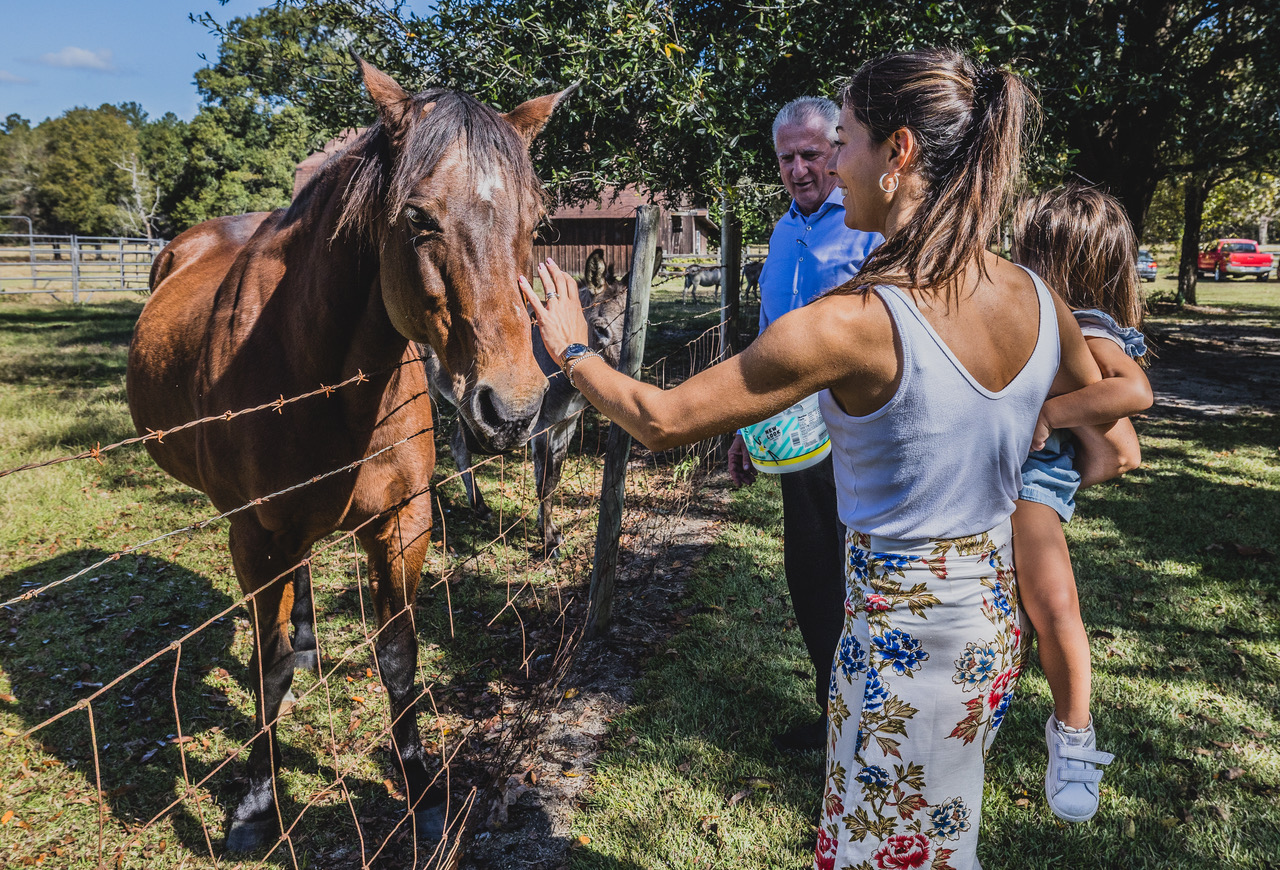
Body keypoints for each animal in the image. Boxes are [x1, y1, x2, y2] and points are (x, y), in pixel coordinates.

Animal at [126, 57, 571, 852]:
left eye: (533, 223)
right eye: (419, 218)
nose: (513, 409)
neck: (323, 380)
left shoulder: (402, 523)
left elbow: (398, 654)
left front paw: (422, 789)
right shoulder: (256, 534)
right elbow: (269, 674)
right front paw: (254, 807)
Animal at [422, 248, 628, 558]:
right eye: (600, 327)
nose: (624, 373)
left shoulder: (566, 424)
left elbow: (553, 478)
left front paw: (548, 529)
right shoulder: (541, 427)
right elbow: (543, 483)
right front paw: (549, 542)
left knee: (457, 442)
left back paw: (480, 508)